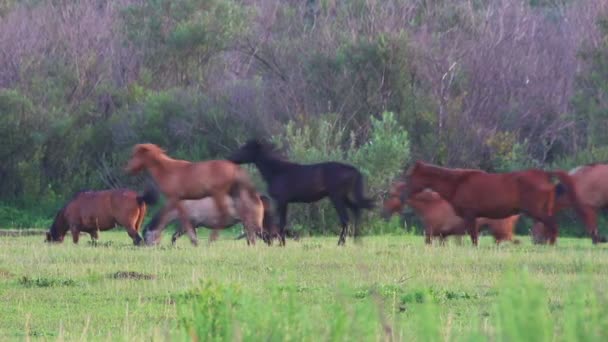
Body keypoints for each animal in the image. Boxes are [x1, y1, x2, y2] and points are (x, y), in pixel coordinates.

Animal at [126, 144, 258, 246]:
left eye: (136, 156)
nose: (128, 169)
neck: (169, 171)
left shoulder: (180, 209)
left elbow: (181, 228)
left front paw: (194, 242)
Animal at [227, 139, 372, 246]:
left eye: (246, 148)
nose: (230, 158)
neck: (277, 171)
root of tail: (354, 170)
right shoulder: (284, 202)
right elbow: (282, 223)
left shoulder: (281, 201)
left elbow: (281, 223)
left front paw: (281, 244)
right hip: (344, 197)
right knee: (356, 210)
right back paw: (356, 241)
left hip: (337, 197)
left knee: (346, 219)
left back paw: (341, 243)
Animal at [382, 180, 520, 244]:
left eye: (391, 195)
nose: (384, 211)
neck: (431, 205)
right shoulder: (442, 236)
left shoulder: (430, 234)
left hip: (502, 233)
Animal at [400, 161, 600, 244]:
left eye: (409, 176)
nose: (402, 195)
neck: (458, 183)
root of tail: (544, 175)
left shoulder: (470, 214)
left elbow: (472, 236)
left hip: (537, 210)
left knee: (553, 226)